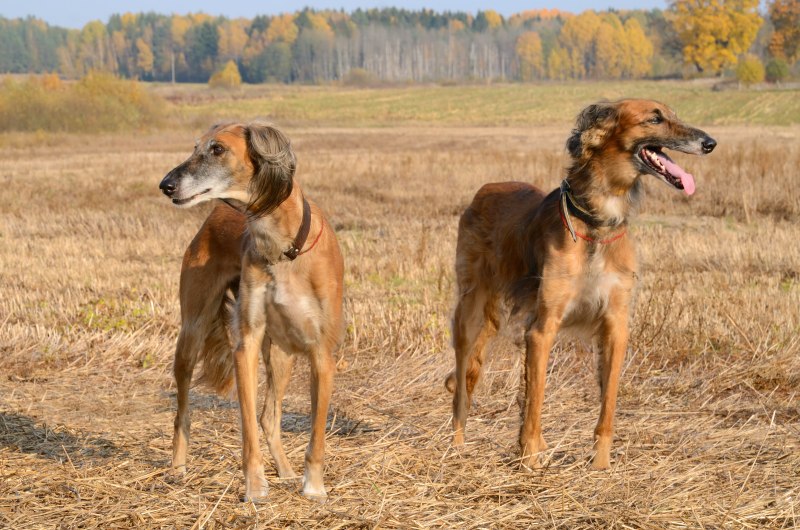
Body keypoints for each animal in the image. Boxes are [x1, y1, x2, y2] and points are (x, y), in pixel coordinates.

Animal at [158, 122, 342, 500]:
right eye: (195, 148)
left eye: (217, 149)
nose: (165, 184)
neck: (283, 246)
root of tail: (216, 212)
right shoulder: (247, 343)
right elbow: (247, 428)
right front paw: (255, 486)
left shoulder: (322, 352)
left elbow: (316, 432)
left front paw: (313, 486)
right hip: (191, 333)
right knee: (182, 411)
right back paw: (178, 468)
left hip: (282, 355)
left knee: (270, 418)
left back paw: (286, 471)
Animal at [446, 98, 716, 466]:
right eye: (655, 119)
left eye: (673, 114)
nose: (710, 143)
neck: (597, 223)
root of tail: (486, 189)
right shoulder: (541, 328)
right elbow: (535, 400)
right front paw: (529, 459)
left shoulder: (616, 325)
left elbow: (608, 405)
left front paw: (600, 464)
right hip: (470, 314)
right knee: (462, 387)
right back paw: (458, 445)